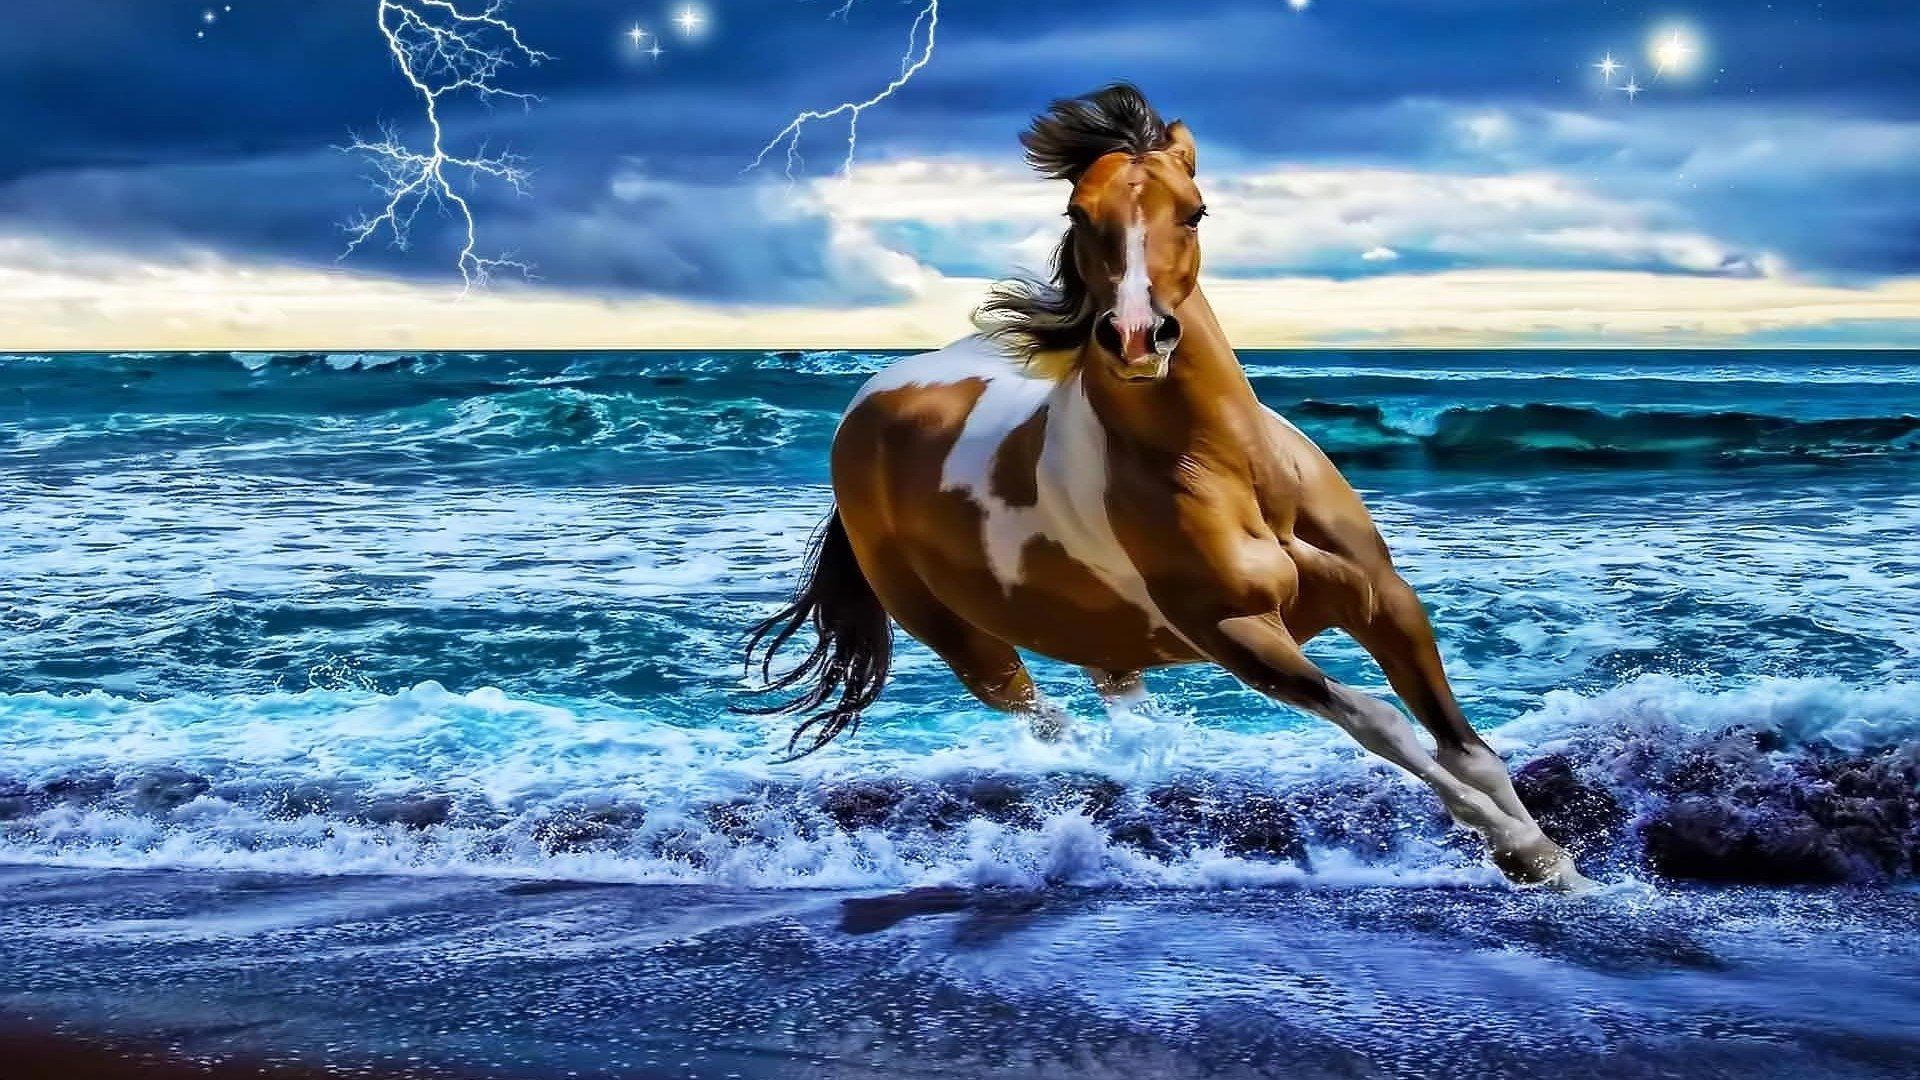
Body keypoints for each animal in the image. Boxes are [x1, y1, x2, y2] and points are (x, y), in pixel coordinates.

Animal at [743, 84, 1590, 890]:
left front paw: (1564, 866)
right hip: (964, 641)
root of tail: (866, 406)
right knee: (1047, 719)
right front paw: (1529, 855)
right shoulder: (1237, 633)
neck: (1234, 473)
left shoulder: (1385, 599)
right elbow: (1380, 722)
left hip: (1098, 633)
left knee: (1116, 699)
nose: (1136, 336)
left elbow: (1467, 749)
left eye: (1195, 209)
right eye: (1079, 212)